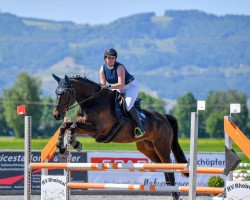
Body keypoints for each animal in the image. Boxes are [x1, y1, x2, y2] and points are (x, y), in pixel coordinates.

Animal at [51, 74, 188, 200]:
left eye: (64, 93)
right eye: (56, 92)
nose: (56, 115)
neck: (92, 102)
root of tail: (164, 118)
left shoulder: (96, 130)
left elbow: (73, 126)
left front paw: (73, 143)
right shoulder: (84, 126)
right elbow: (66, 126)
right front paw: (63, 147)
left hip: (161, 147)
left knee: (169, 167)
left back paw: (175, 194)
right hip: (147, 148)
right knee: (163, 167)